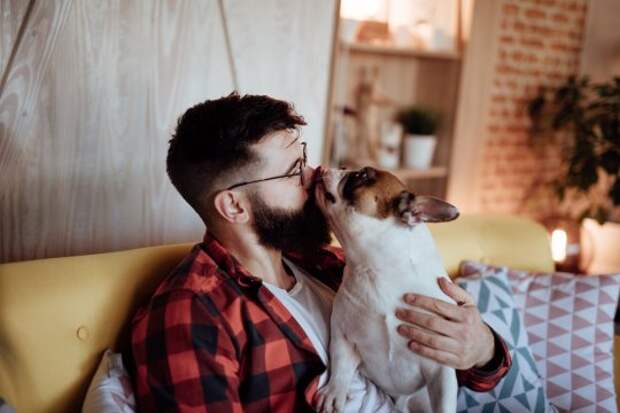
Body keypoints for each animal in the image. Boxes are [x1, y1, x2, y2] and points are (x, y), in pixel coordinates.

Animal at [314, 165, 460, 412]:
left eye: (361, 176)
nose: (329, 166)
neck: (377, 268)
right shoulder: (344, 336)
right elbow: (341, 366)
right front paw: (335, 391)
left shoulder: (440, 367)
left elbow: (444, 404)